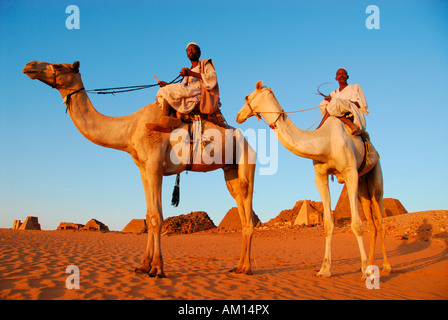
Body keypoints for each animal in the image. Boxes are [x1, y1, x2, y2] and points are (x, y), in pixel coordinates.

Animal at [23, 61, 256, 276]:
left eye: (57, 65)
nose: (29, 66)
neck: (130, 128)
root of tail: (247, 142)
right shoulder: (144, 169)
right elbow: (149, 214)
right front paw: (144, 265)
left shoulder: (155, 166)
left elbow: (156, 217)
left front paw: (157, 268)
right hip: (229, 171)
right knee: (241, 205)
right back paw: (239, 267)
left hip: (246, 162)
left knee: (247, 204)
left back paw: (246, 268)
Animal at [236, 81, 390, 278]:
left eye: (247, 97)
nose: (238, 116)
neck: (325, 143)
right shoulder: (320, 177)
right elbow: (327, 224)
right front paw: (324, 269)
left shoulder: (350, 173)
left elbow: (356, 224)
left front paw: (363, 270)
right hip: (363, 185)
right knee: (372, 221)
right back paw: (371, 266)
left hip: (375, 174)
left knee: (380, 220)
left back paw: (384, 266)